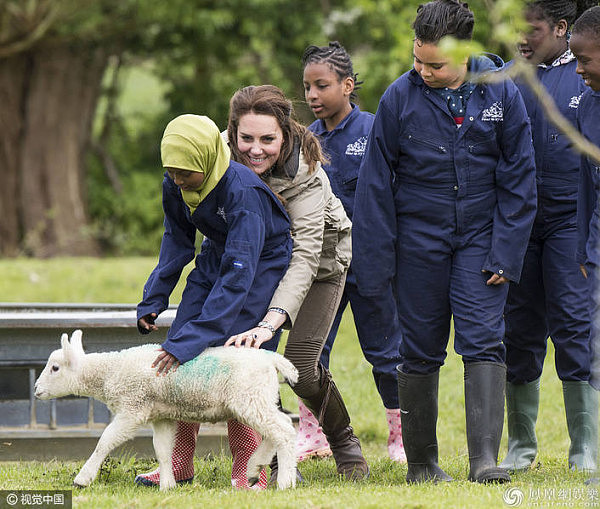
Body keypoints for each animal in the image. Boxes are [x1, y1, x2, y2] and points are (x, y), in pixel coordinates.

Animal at [33, 328, 298, 490]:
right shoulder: (161, 416)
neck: (109, 371)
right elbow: (162, 449)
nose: (36, 389)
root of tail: (271, 358)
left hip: (249, 397)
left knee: (284, 431)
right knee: (279, 429)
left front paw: (83, 478)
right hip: (259, 398)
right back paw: (255, 468)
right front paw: (168, 484)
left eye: (55, 368)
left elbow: (105, 440)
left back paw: (284, 481)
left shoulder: (132, 408)